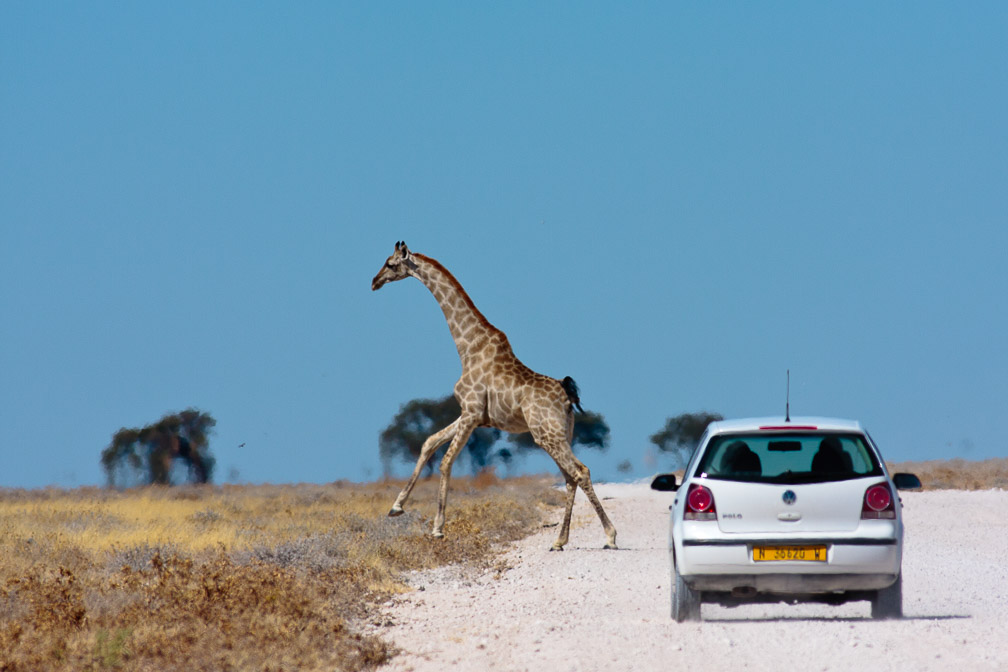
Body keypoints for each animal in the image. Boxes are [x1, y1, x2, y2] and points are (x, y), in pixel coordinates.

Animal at [374, 241, 616, 552]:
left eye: (391, 264)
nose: (374, 282)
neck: (467, 347)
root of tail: (566, 396)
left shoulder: (471, 413)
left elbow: (446, 461)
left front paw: (438, 529)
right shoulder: (472, 415)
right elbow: (428, 443)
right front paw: (396, 507)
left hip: (547, 434)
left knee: (580, 472)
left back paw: (609, 536)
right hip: (560, 434)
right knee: (569, 477)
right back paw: (559, 540)